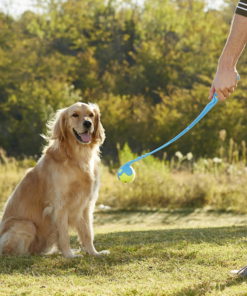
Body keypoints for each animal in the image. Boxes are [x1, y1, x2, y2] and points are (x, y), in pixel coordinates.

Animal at [0, 101, 109, 256]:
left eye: (91, 115)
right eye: (75, 115)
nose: (88, 123)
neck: (78, 157)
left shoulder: (85, 204)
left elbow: (88, 233)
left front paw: (94, 253)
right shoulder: (59, 205)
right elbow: (64, 235)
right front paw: (69, 255)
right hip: (26, 224)